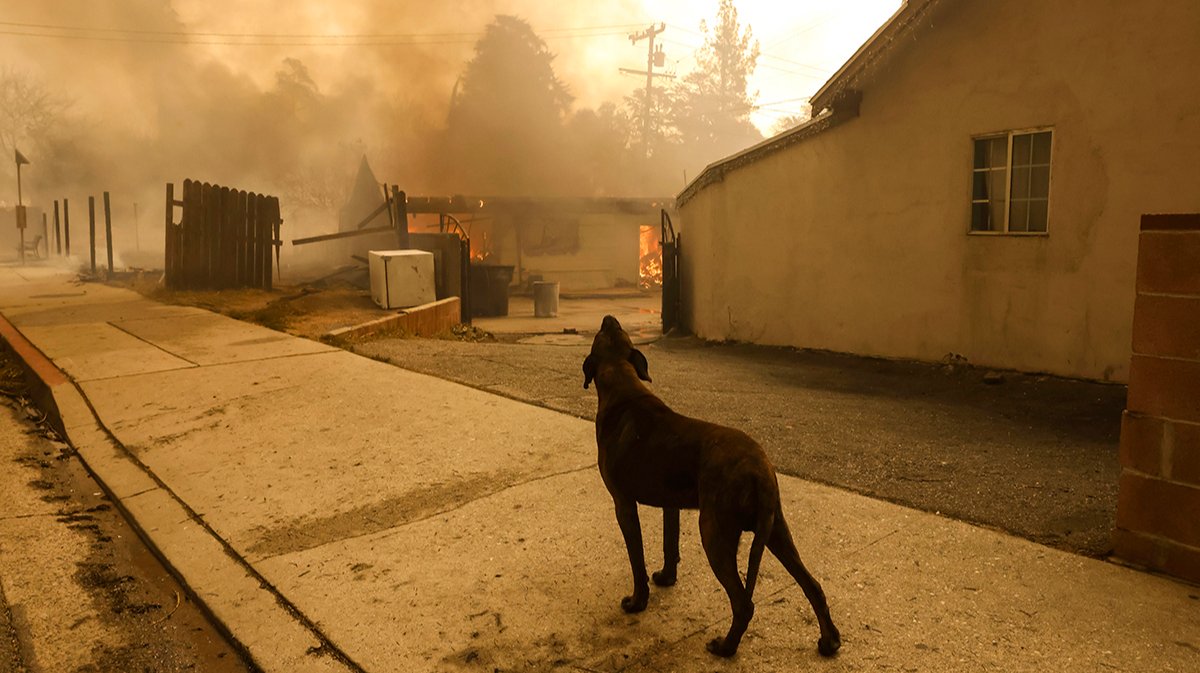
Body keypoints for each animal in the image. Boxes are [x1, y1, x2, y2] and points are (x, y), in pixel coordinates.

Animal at [583, 314, 844, 657]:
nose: (608, 317)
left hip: (714, 532)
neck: (623, 385)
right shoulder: (671, 504)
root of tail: (759, 469)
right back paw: (829, 640)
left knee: (744, 603)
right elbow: (669, 545)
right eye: (614, 331)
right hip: (775, 530)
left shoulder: (623, 504)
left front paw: (637, 602)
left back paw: (726, 647)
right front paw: (666, 578)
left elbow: (636, 560)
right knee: (813, 585)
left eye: (601, 333)